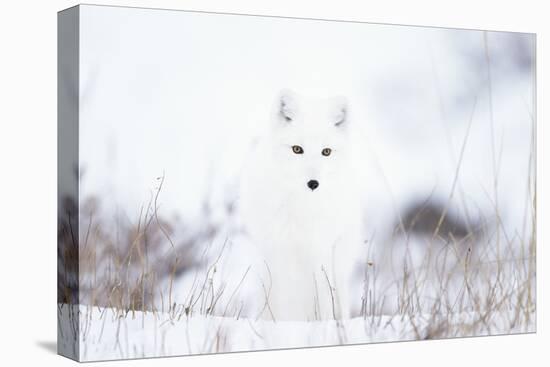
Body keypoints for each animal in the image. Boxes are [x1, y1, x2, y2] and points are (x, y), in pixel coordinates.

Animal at [239, 90, 364, 322]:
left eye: (326, 152)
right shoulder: (283, 252)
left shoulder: (321, 252)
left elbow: (324, 298)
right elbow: (289, 301)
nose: (313, 183)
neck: (304, 209)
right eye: (297, 149)